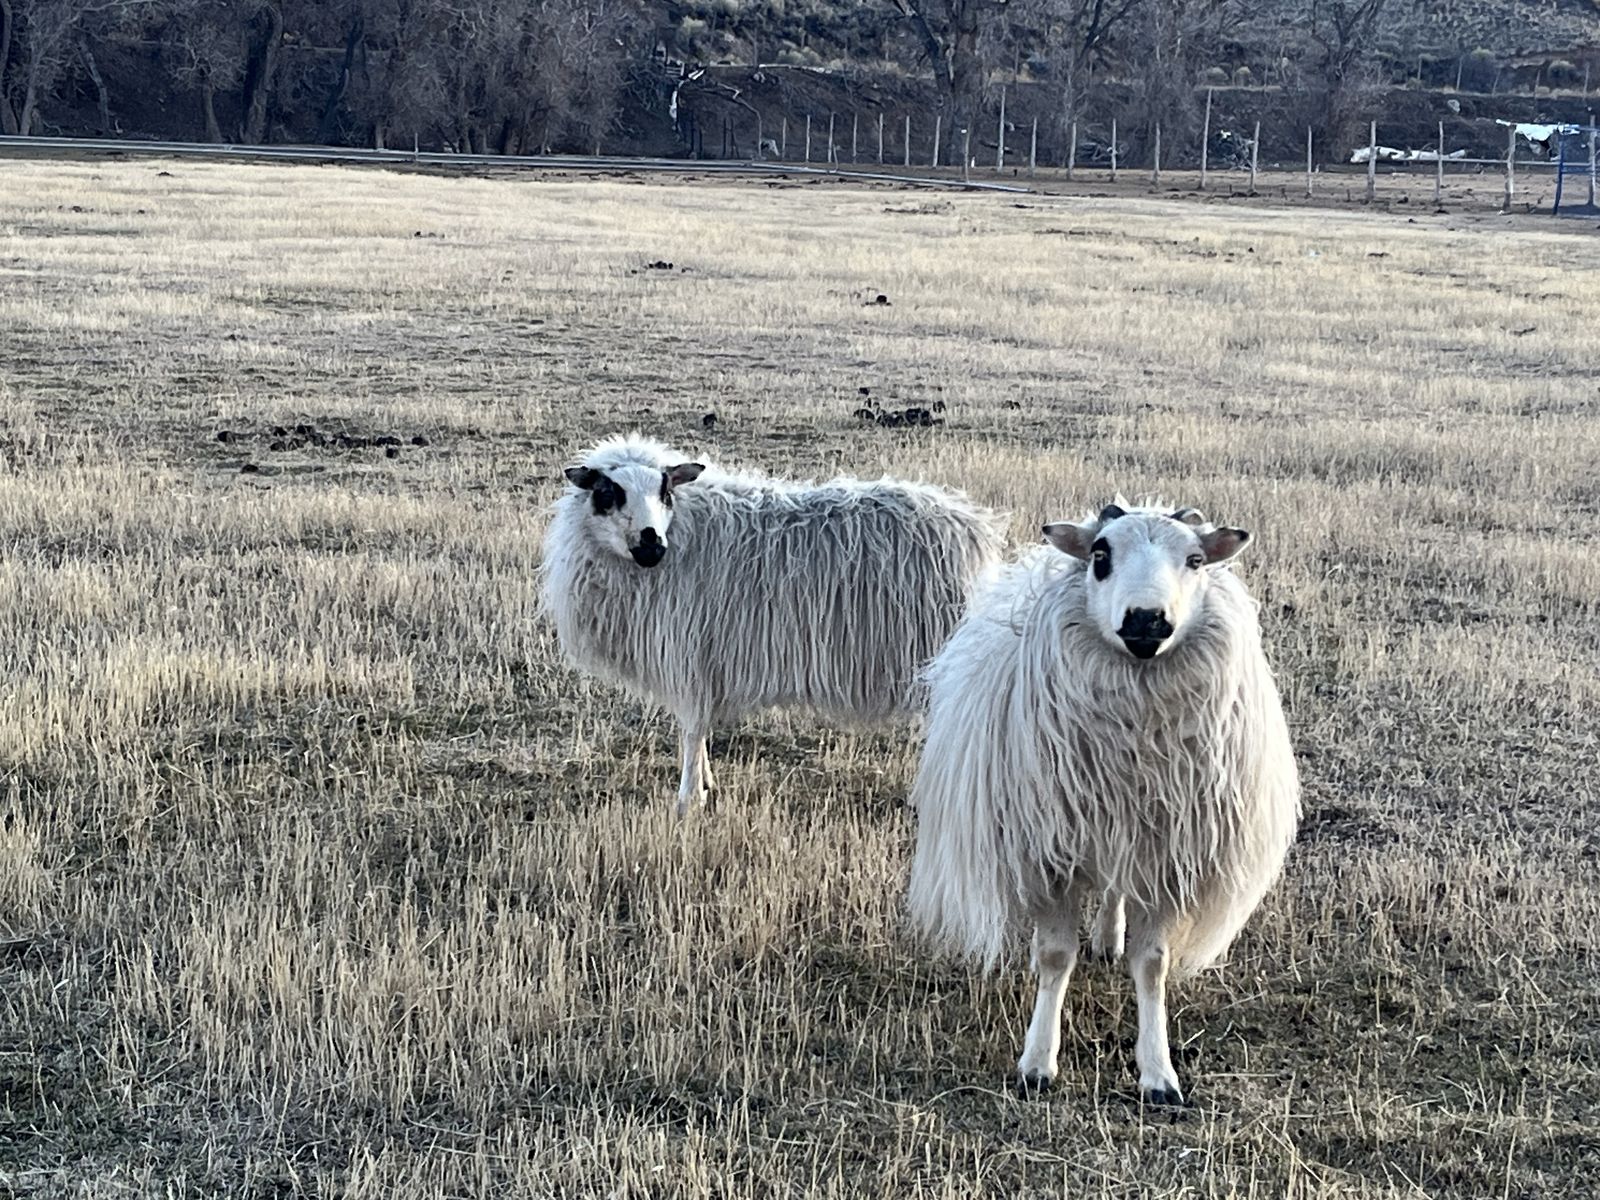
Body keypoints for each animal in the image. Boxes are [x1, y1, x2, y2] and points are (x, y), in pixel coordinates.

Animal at [540, 433, 1006, 814]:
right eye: (608, 493)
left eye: (665, 491)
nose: (652, 545)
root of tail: (972, 530)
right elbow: (700, 732)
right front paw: (707, 784)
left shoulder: (689, 655)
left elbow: (691, 730)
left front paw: (689, 800)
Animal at [906, 501, 1299, 1104]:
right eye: (1100, 555)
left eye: (1195, 560)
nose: (1146, 621)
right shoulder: (1050, 855)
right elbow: (1055, 957)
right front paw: (1037, 1063)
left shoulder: (1164, 859)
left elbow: (1153, 965)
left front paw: (1158, 1073)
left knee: (1114, 892)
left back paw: (1109, 937)